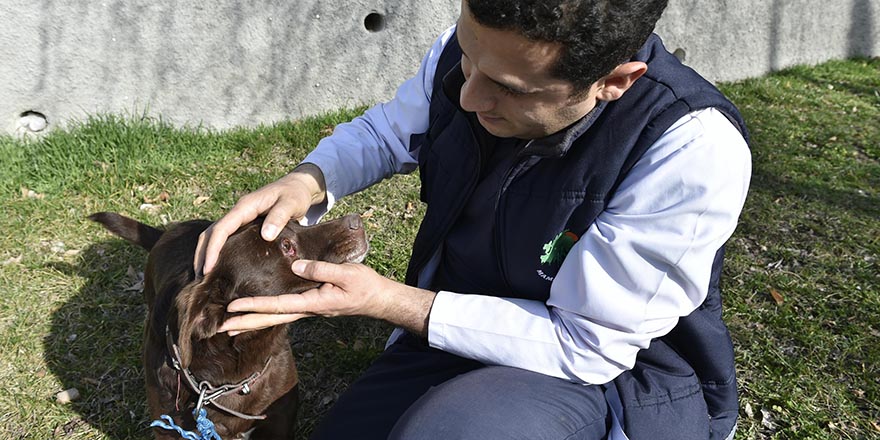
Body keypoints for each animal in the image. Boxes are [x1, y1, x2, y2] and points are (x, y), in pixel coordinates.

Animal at [87, 211, 366, 438]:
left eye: (297, 223)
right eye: (287, 247)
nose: (357, 220)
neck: (234, 377)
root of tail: (166, 233)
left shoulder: (279, 423)